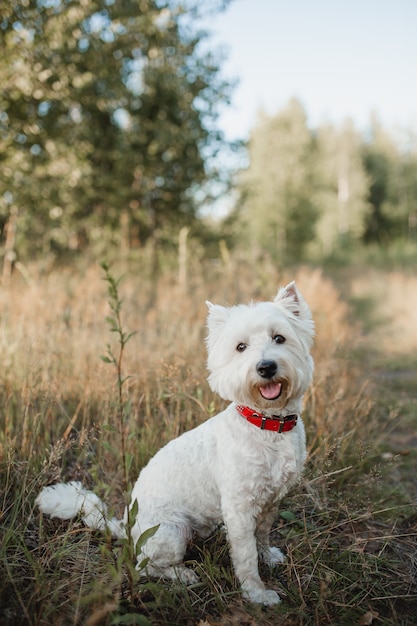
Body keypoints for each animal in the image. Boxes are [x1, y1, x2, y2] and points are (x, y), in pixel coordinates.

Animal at [37, 280, 314, 604]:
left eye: (279, 338)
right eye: (241, 347)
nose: (266, 367)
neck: (266, 424)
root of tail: (126, 526)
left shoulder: (270, 502)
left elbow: (262, 535)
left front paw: (267, 556)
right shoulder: (239, 508)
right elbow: (245, 557)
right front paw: (257, 593)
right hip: (172, 531)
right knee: (147, 566)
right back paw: (182, 575)